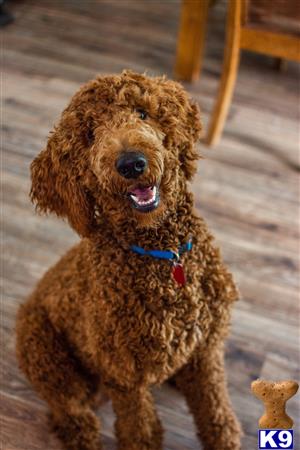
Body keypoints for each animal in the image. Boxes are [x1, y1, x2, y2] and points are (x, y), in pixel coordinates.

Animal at [15, 72, 241, 448]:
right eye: (90, 135)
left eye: (142, 113)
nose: (131, 163)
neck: (163, 254)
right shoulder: (124, 374)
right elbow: (141, 431)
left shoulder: (207, 349)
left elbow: (217, 415)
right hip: (48, 357)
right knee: (67, 407)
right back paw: (80, 432)